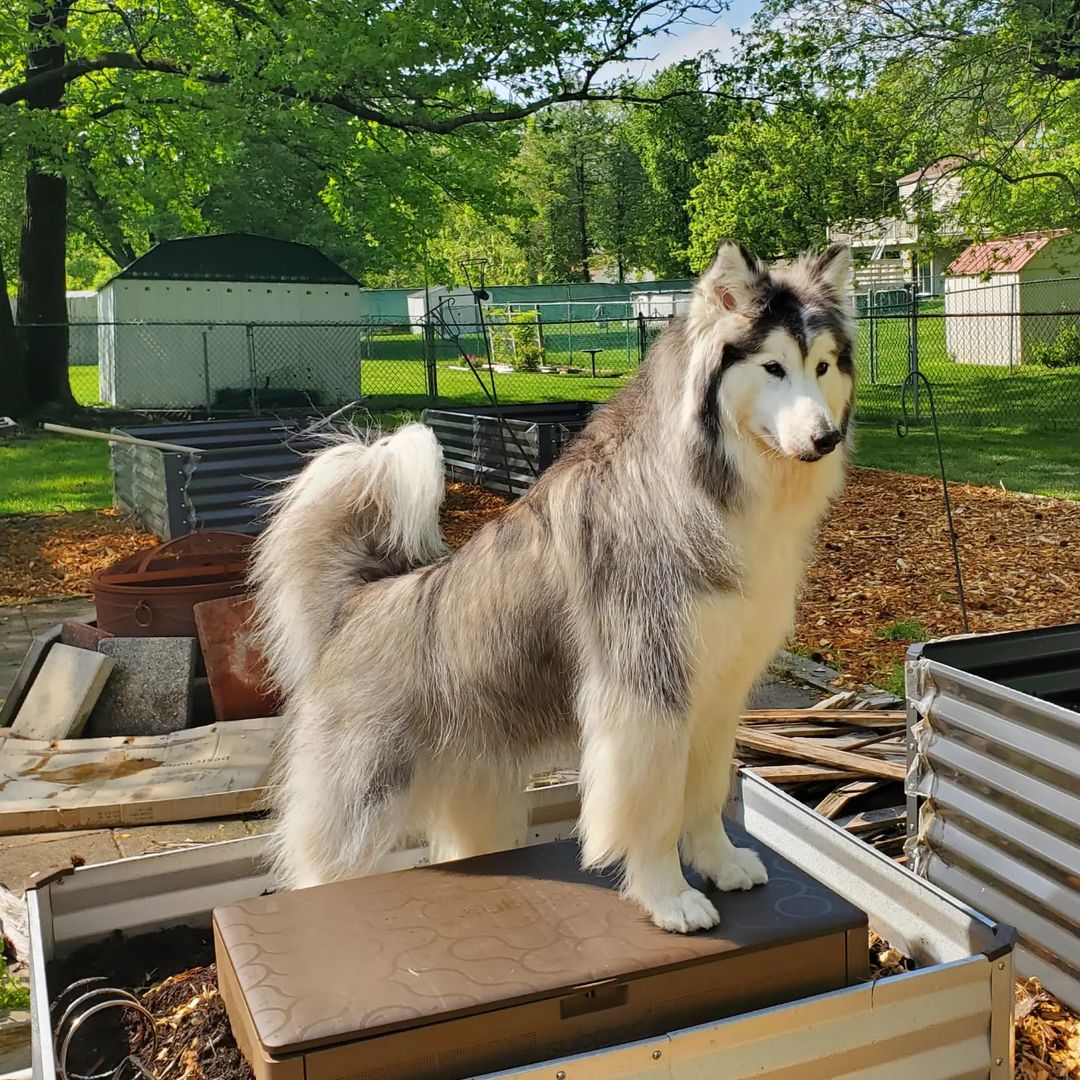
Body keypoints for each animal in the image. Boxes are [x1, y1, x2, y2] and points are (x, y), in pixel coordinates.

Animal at [250, 240, 851, 933]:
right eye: (773, 367)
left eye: (823, 366)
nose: (826, 437)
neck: (707, 489)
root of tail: (361, 599)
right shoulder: (645, 697)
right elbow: (655, 807)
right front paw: (667, 895)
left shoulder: (716, 692)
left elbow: (702, 794)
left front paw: (720, 864)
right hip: (360, 806)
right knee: (320, 871)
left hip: (477, 793)